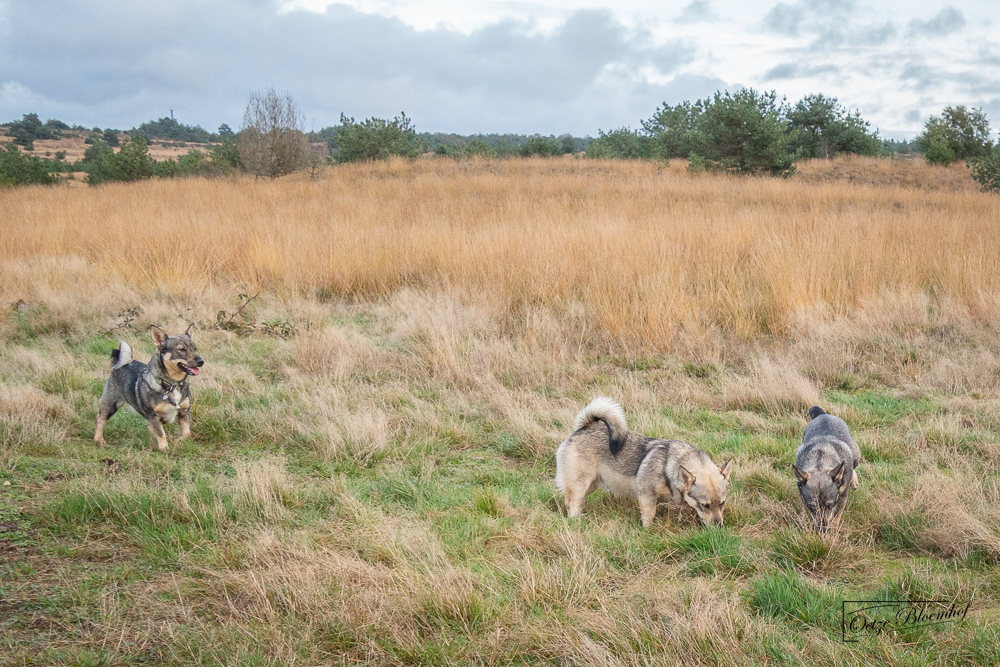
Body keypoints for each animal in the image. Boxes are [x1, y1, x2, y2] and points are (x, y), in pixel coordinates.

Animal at [555, 397, 733, 527]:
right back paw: (575, 522)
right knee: (571, 504)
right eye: (705, 505)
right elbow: (649, 516)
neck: (668, 465)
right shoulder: (647, 495)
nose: (719, 526)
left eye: (722, 503)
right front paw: (647, 530)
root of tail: (582, 428)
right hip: (580, 485)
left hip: (590, 486)